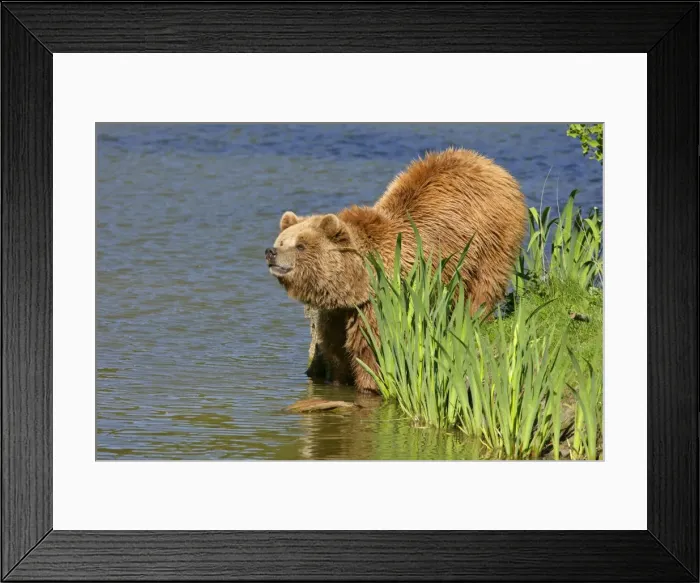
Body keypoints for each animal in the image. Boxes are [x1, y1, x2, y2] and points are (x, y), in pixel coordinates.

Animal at [265, 148, 527, 392]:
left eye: (300, 245)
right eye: (282, 241)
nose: (271, 252)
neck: (354, 283)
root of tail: (489, 164)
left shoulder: (381, 300)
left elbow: (372, 347)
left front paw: (370, 383)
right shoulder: (337, 312)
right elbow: (335, 348)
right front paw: (338, 378)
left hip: (491, 235)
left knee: (484, 284)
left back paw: (475, 317)